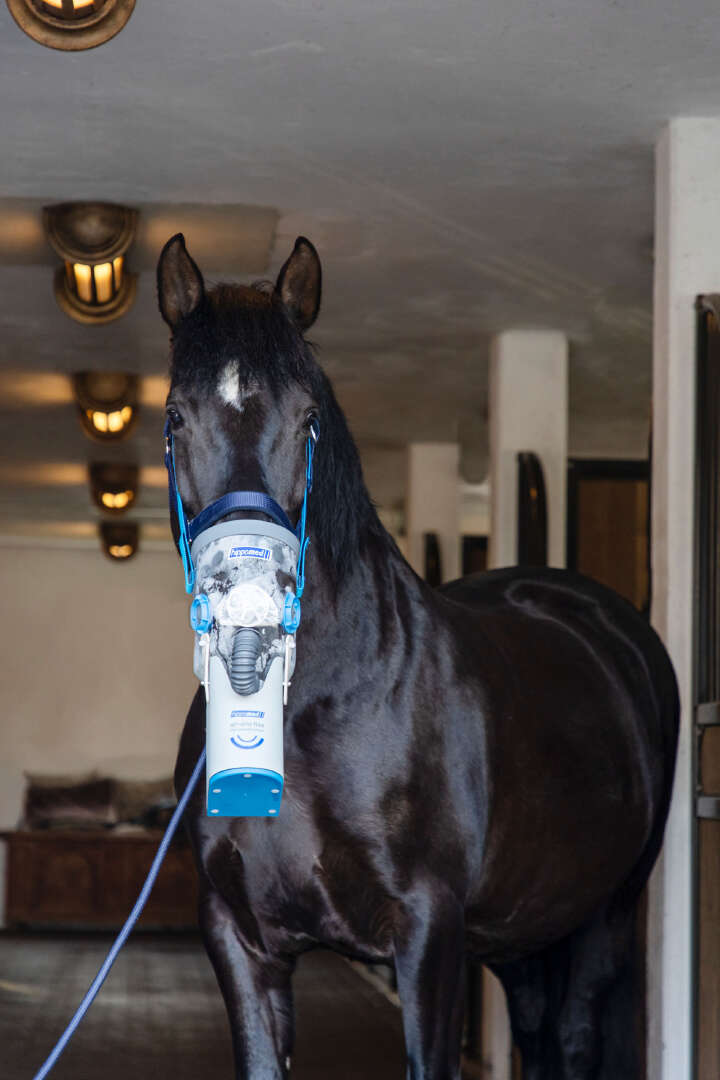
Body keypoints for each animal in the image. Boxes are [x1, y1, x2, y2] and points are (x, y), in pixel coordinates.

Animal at [157, 232, 679, 1080]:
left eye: (308, 418)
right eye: (176, 415)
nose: (249, 600)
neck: (317, 712)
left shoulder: (429, 935)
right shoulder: (239, 938)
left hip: (606, 911)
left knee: (572, 1033)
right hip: (519, 931)